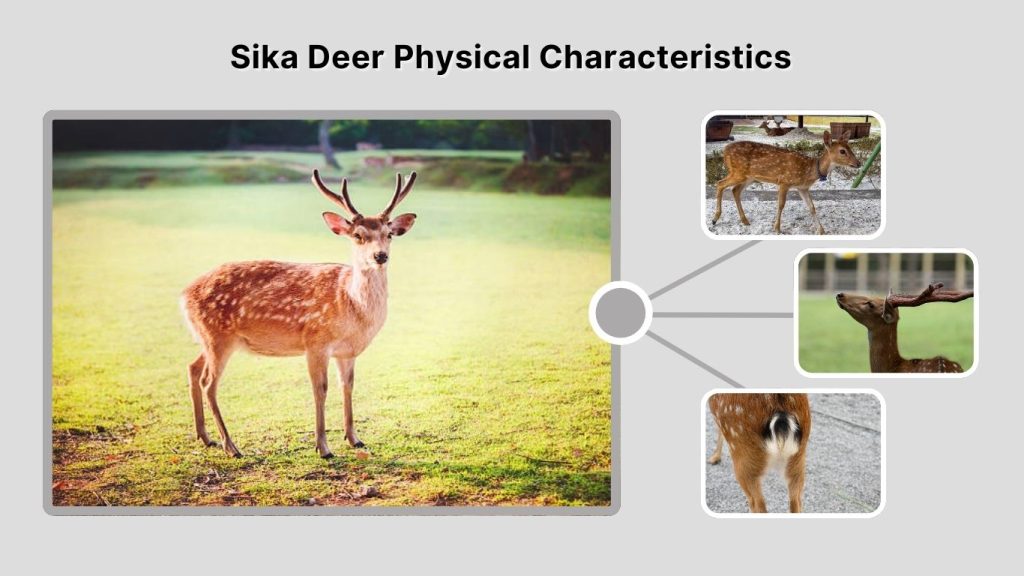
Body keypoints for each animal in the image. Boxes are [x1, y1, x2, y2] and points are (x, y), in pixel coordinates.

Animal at [180, 170, 418, 458]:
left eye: (389, 234)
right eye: (358, 235)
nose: (380, 256)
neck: (352, 308)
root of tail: (184, 295)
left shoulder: (347, 351)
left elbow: (347, 386)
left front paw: (354, 438)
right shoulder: (315, 342)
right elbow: (320, 389)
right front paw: (323, 447)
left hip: (208, 338)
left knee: (192, 368)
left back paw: (205, 437)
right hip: (217, 336)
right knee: (209, 383)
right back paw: (231, 446)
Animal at [711, 130, 862, 235]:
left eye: (850, 148)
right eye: (842, 151)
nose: (859, 163)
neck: (809, 171)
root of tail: (724, 151)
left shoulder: (803, 188)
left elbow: (812, 207)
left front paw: (821, 230)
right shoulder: (784, 181)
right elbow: (781, 205)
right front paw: (777, 228)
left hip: (749, 177)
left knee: (735, 190)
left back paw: (745, 221)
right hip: (738, 172)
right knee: (720, 183)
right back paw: (715, 219)